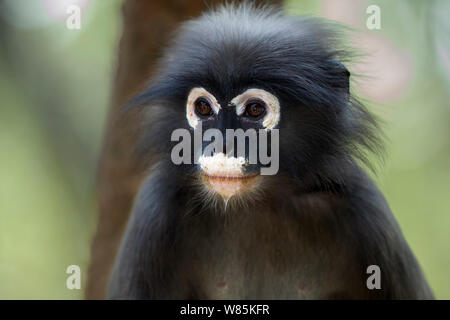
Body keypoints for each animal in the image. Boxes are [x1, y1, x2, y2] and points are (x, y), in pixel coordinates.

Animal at [107, 3, 434, 300]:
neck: (256, 203)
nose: (222, 144)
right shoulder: (156, 205)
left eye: (254, 109)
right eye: (203, 107)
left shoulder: (364, 207)